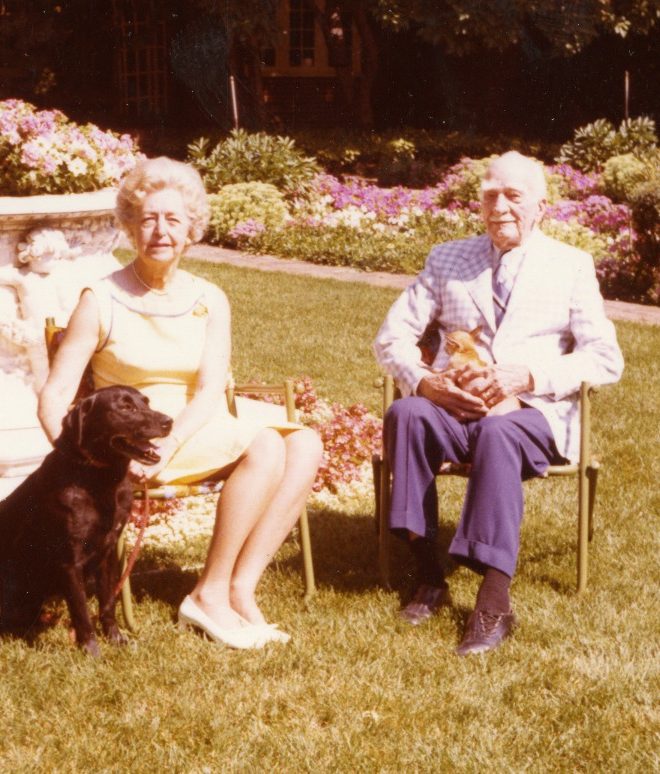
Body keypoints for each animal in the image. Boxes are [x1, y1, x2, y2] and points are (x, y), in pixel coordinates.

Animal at [0, 384, 173, 656]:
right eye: (125, 407)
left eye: (146, 402)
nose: (168, 422)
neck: (100, 480)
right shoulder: (70, 562)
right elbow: (81, 612)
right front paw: (92, 652)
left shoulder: (107, 554)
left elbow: (107, 604)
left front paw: (116, 639)